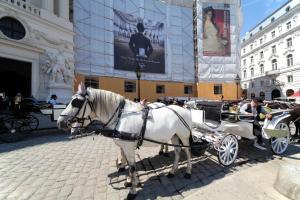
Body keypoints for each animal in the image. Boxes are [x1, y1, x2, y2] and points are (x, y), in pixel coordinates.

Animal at [56, 84, 192, 198]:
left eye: (76, 102)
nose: (60, 123)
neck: (120, 116)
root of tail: (184, 109)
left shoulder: (128, 146)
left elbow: (132, 167)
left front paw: (132, 190)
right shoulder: (125, 146)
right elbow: (127, 164)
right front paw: (129, 181)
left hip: (184, 136)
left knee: (187, 152)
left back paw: (188, 172)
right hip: (174, 135)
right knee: (178, 151)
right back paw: (172, 171)